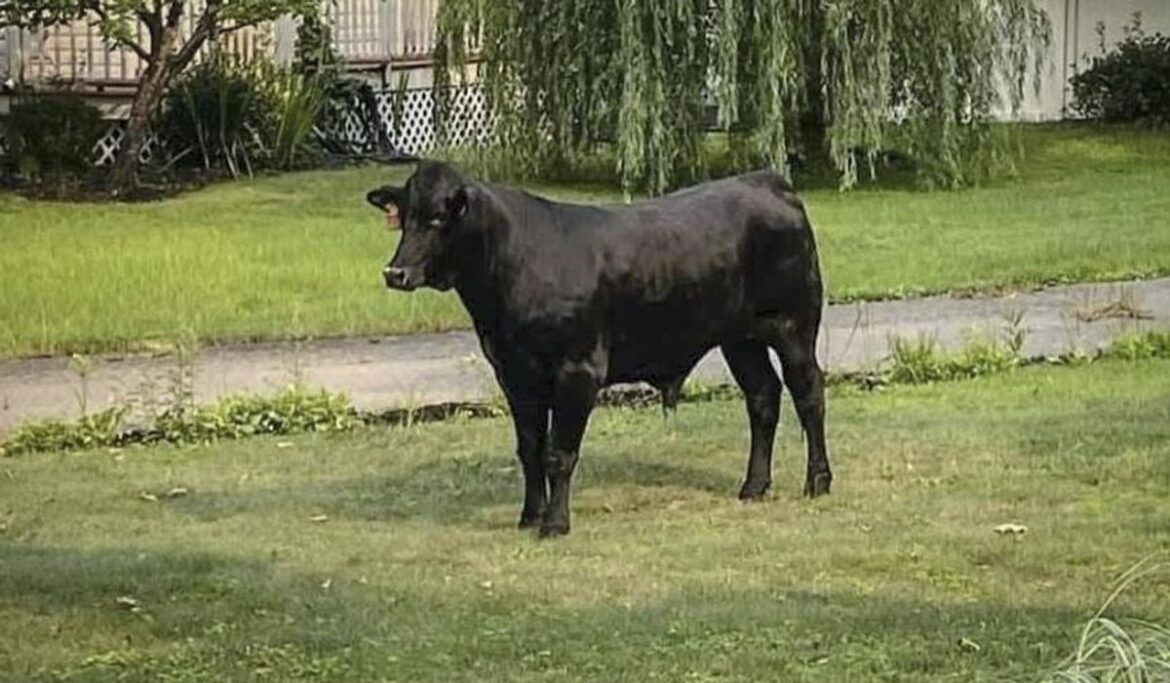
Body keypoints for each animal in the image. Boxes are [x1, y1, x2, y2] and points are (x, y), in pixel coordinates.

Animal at [366, 161, 831, 537]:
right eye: (405, 216)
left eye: (438, 218)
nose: (395, 272)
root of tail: (764, 180)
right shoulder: (514, 372)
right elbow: (529, 449)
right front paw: (529, 516)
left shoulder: (578, 369)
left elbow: (559, 452)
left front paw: (555, 523)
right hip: (740, 338)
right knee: (763, 397)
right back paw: (753, 486)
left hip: (794, 325)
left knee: (808, 393)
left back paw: (817, 481)